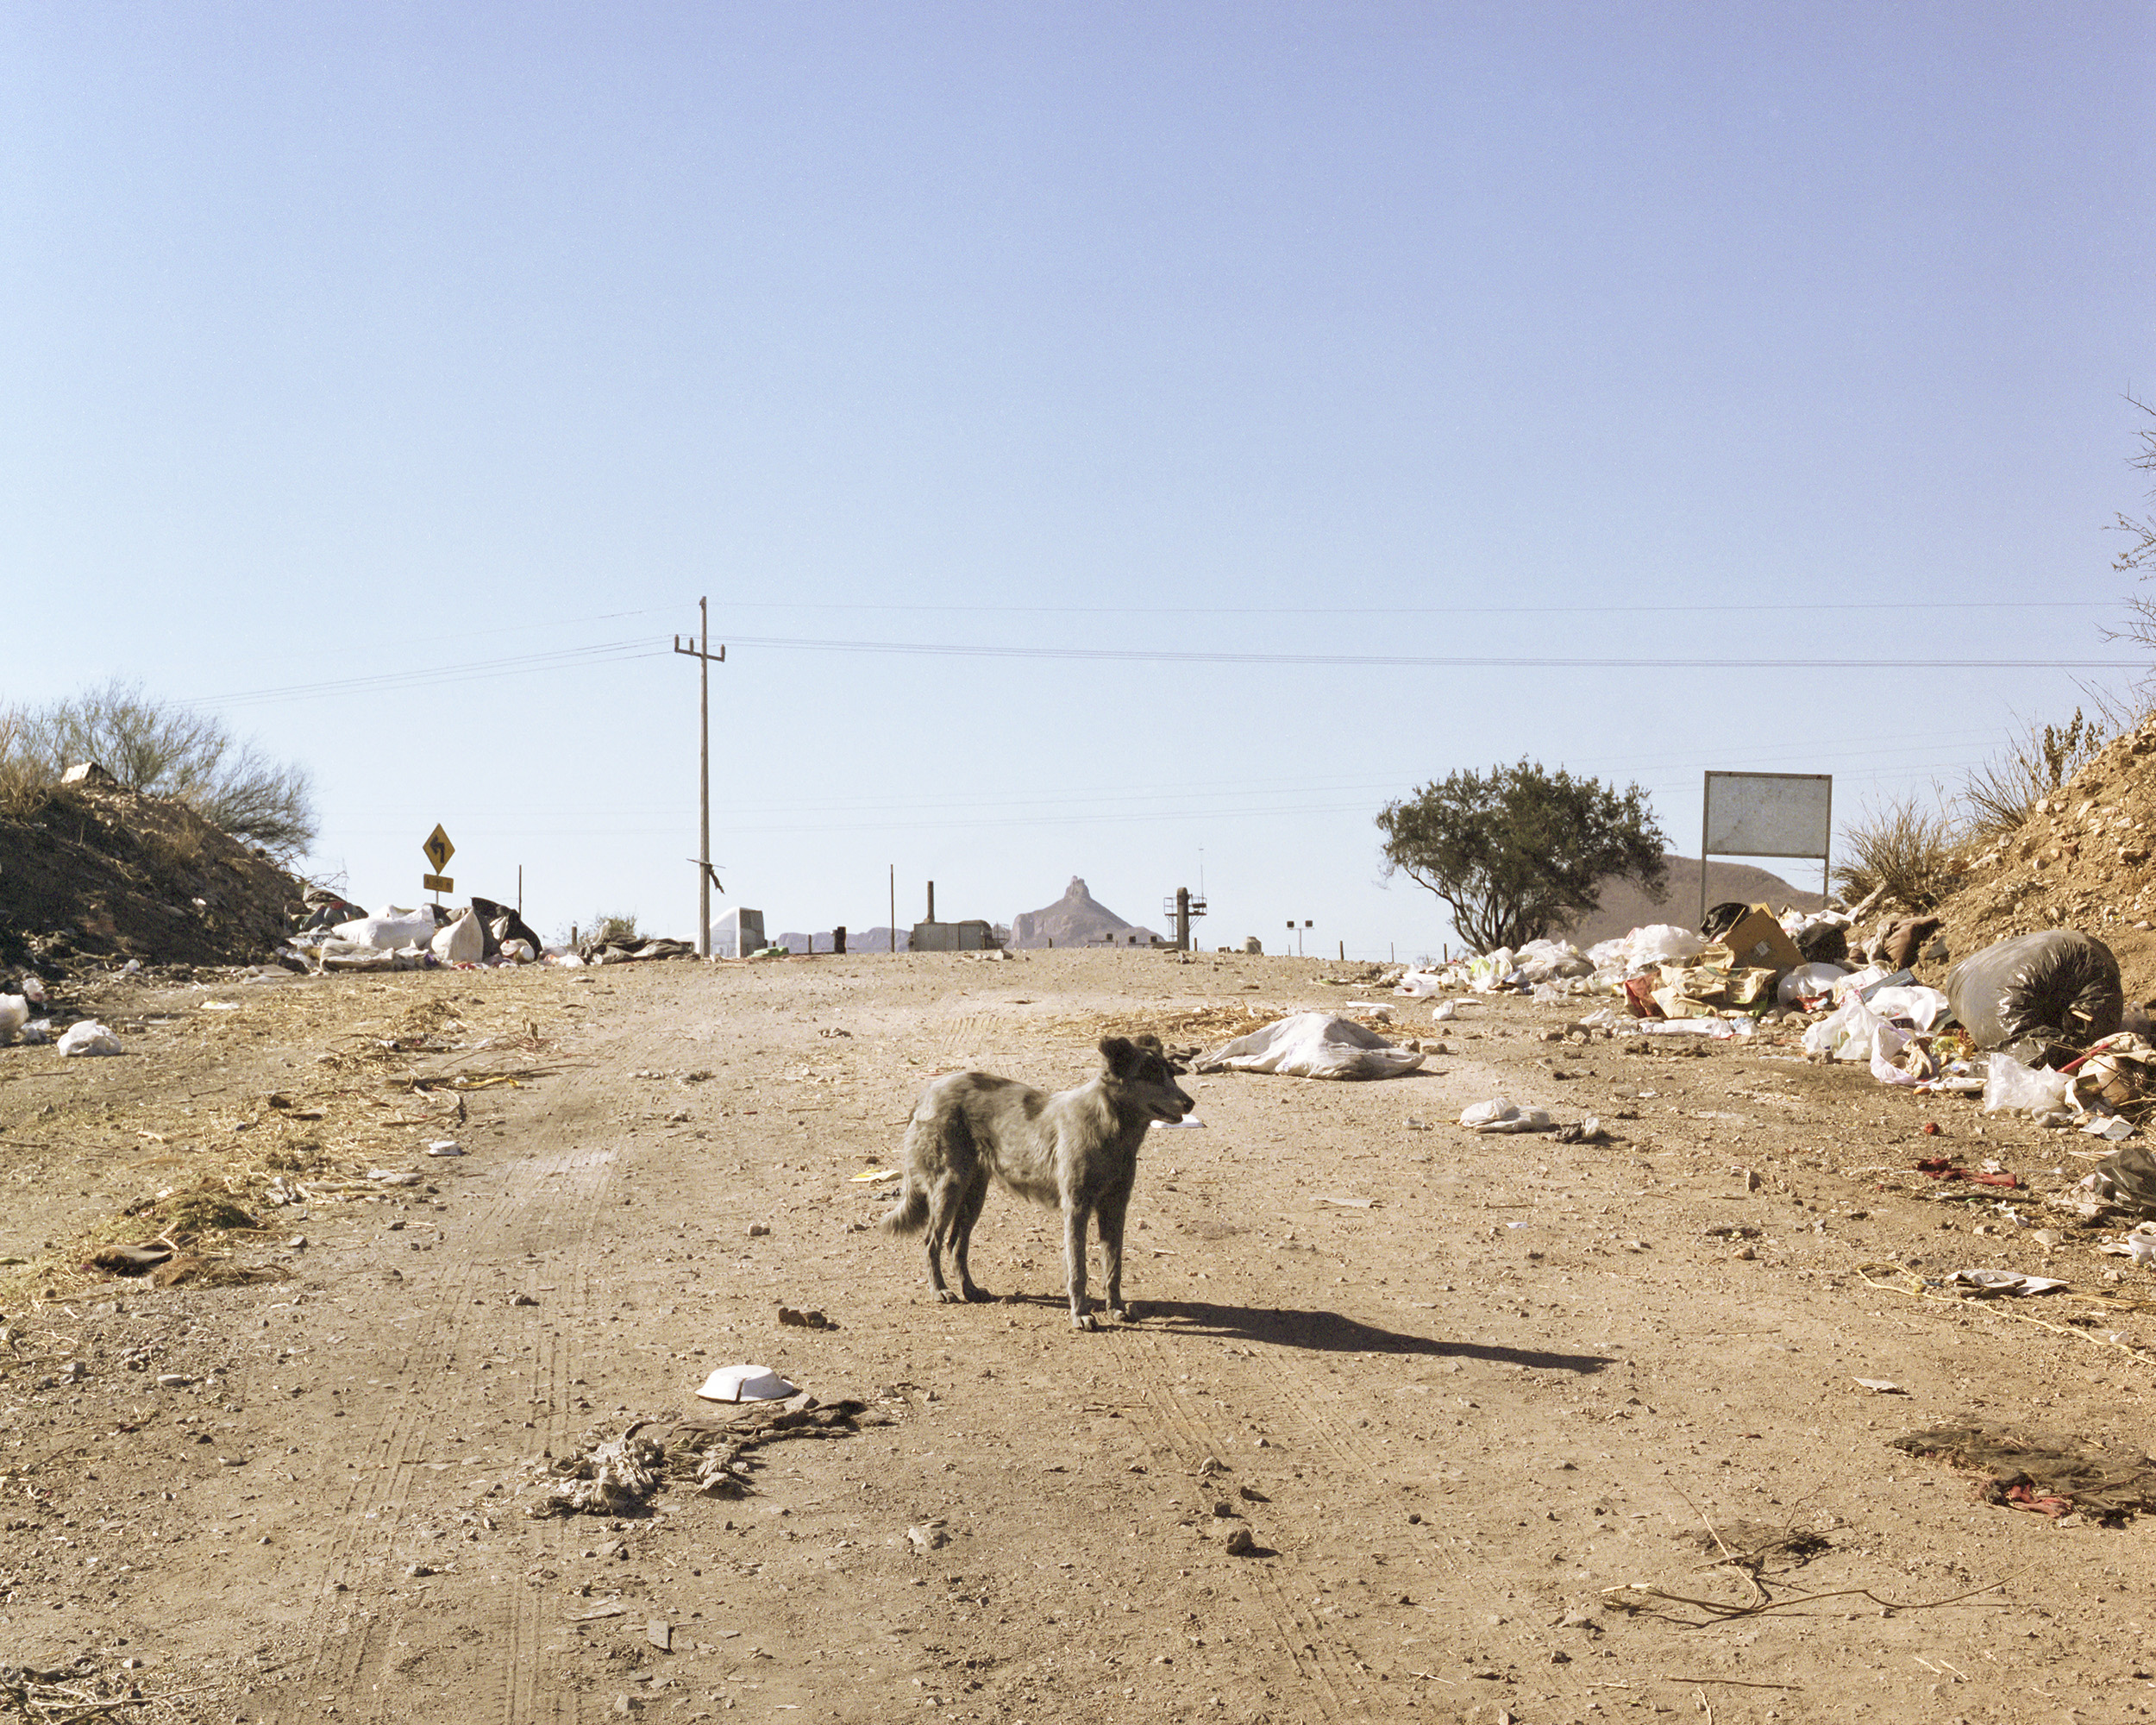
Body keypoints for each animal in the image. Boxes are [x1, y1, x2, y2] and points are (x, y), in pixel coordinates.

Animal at [880, 1035, 1194, 1329]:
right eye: (1150, 1074)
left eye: (1171, 1073)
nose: (1190, 1102)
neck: (1111, 1128)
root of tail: (929, 1090)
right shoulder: (1076, 1209)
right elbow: (1078, 1270)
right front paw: (1080, 1315)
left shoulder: (1114, 1209)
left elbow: (1113, 1267)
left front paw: (1115, 1308)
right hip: (949, 1187)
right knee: (931, 1241)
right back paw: (940, 1290)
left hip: (973, 1196)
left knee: (956, 1244)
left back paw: (970, 1290)